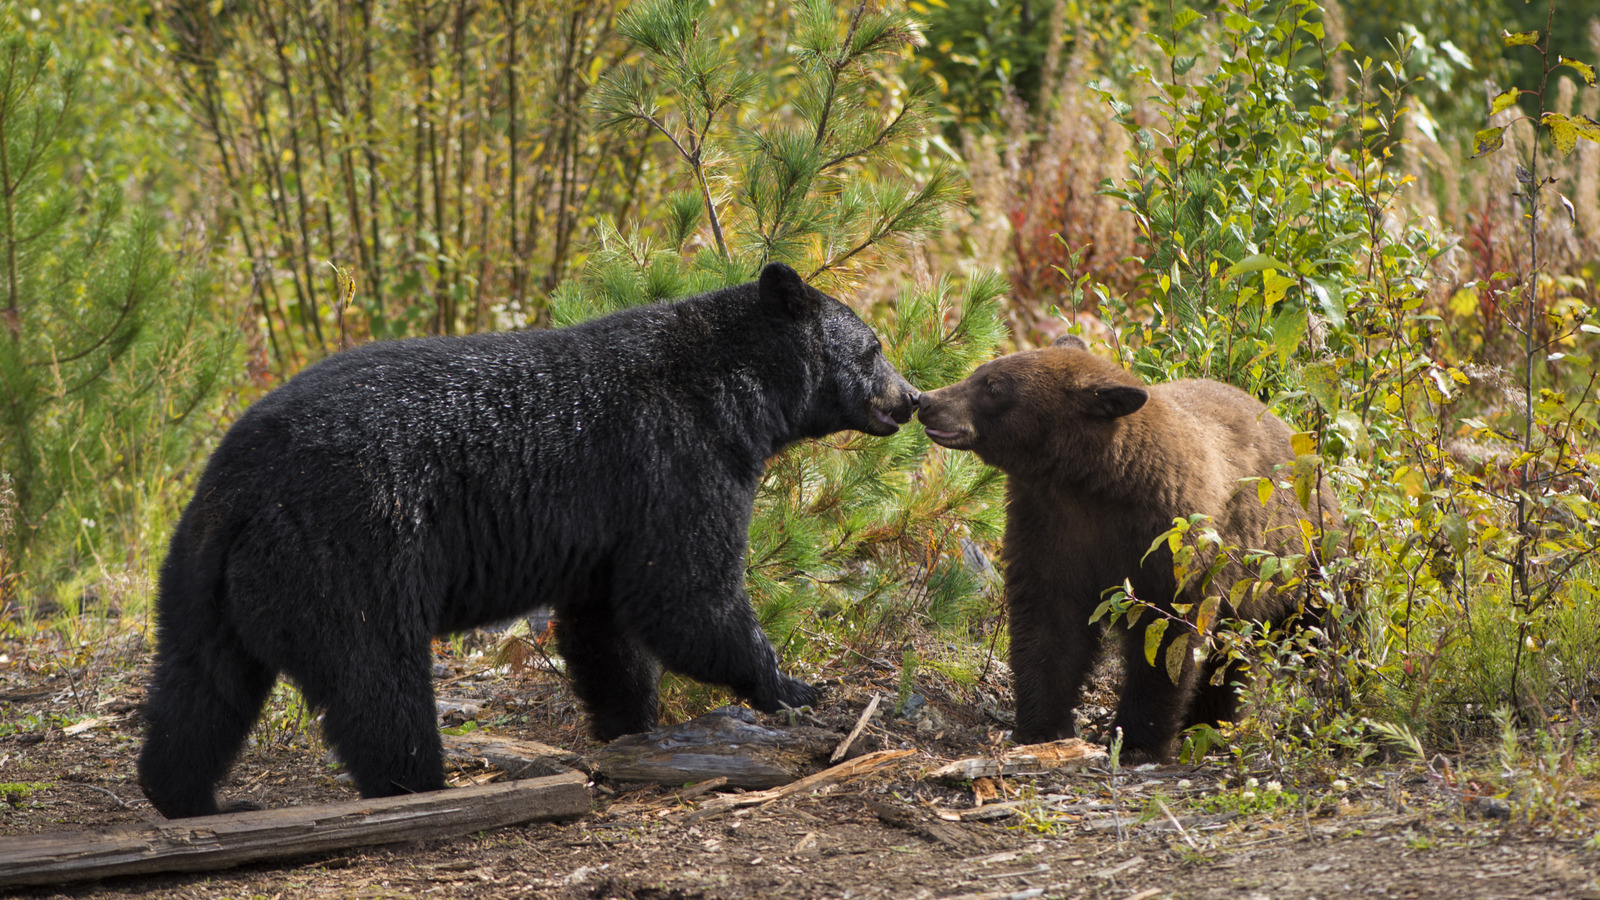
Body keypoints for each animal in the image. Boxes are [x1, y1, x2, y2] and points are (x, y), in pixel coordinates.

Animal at [137, 262, 918, 818]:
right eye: (874, 348)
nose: (910, 399)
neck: (733, 393)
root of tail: (239, 485)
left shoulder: (611, 523)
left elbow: (606, 627)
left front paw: (631, 723)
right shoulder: (676, 461)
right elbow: (687, 594)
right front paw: (792, 686)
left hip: (204, 577)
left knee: (200, 685)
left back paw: (192, 796)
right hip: (352, 548)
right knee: (376, 675)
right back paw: (422, 784)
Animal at [915, 335, 1340, 761]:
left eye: (994, 388)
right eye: (980, 372)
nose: (925, 400)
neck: (1090, 484)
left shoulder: (1170, 540)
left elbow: (1167, 639)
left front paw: (1138, 741)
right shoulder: (1046, 525)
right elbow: (1047, 623)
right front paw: (1041, 726)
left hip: (1302, 568)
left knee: (1310, 632)